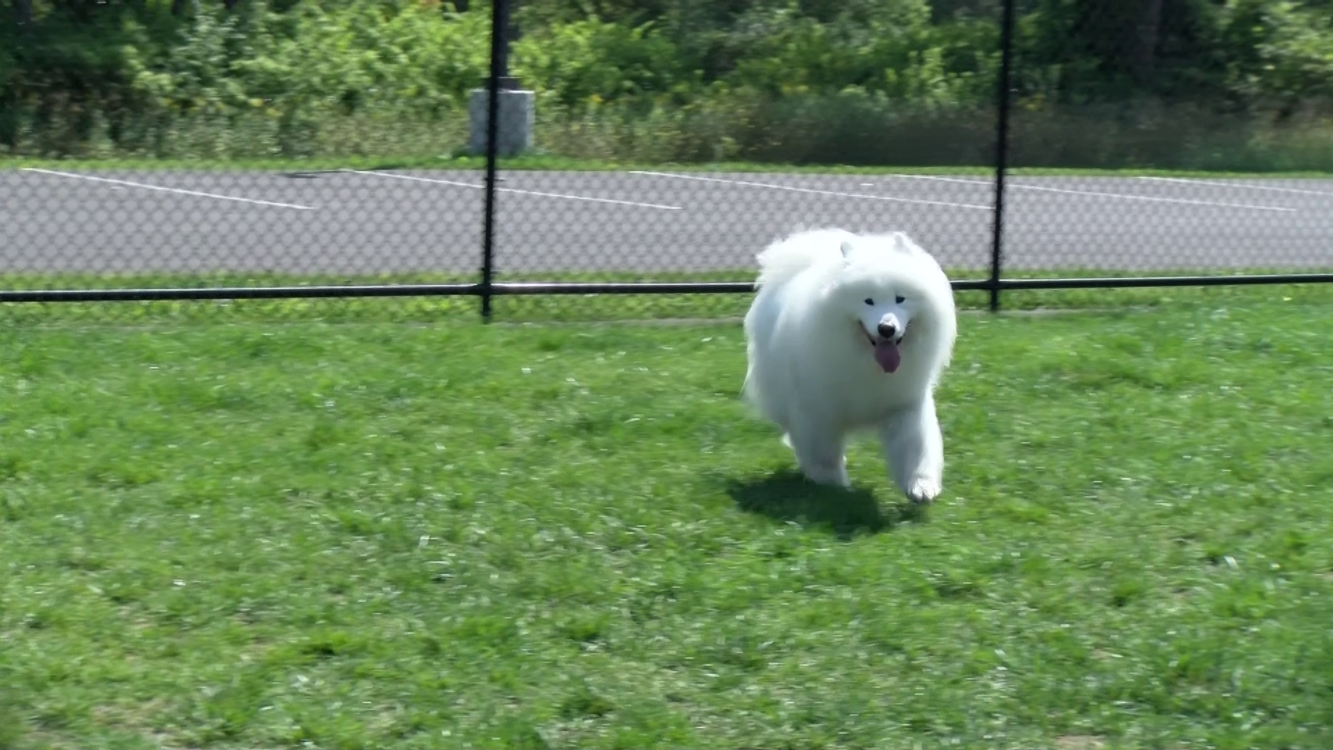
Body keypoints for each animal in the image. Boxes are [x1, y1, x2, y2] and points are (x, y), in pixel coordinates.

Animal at [741, 226, 959, 500]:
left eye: (900, 299)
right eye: (868, 301)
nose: (886, 329)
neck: (866, 362)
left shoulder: (905, 403)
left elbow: (915, 445)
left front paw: (920, 485)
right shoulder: (818, 409)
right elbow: (822, 452)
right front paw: (831, 482)